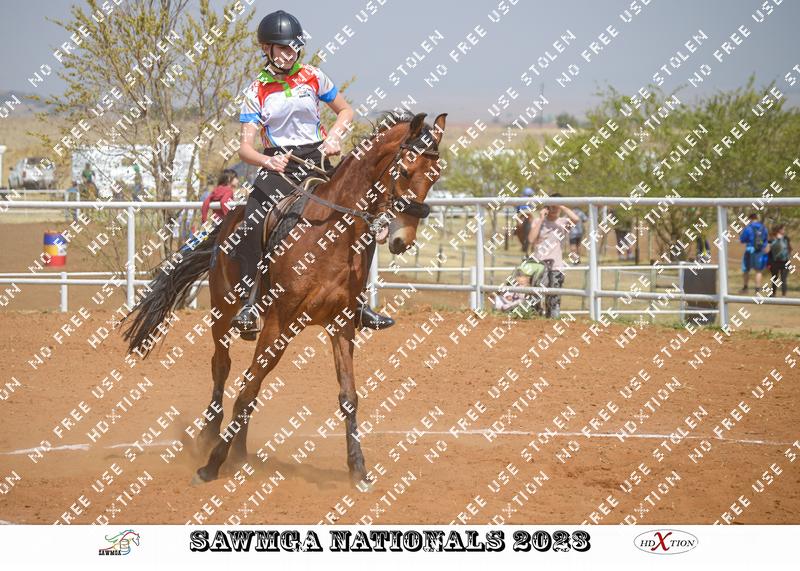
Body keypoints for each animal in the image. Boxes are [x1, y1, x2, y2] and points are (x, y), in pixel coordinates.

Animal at [121, 111, 447, 490]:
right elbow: (247, 390)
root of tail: (227, 220)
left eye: (434, 176)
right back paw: (208, 437)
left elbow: (348, 397)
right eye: (405, 171)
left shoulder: (341, 325)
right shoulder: (279, 324)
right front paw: (211, 465)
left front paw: (358, 470)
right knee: (222, 368)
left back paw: (240, 452)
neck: (328, 234)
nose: (402, 239)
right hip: (224, 314)